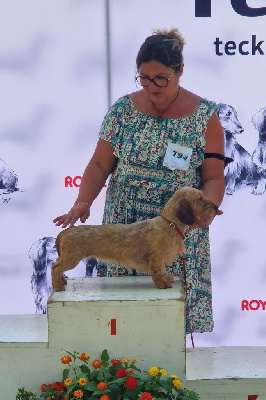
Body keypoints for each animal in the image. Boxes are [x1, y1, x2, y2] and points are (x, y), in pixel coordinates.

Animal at [51, 188, 218, 290]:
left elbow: (163, 271)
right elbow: (158, 272)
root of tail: (65, 232)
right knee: (55, 268)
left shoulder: (159, 259)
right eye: (200, 198)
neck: (168, 224)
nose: (216, 207)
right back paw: (58, 286)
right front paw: (162, 284)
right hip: (71, 259)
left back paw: (61, 281)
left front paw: (166, 279)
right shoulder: (156, 258)